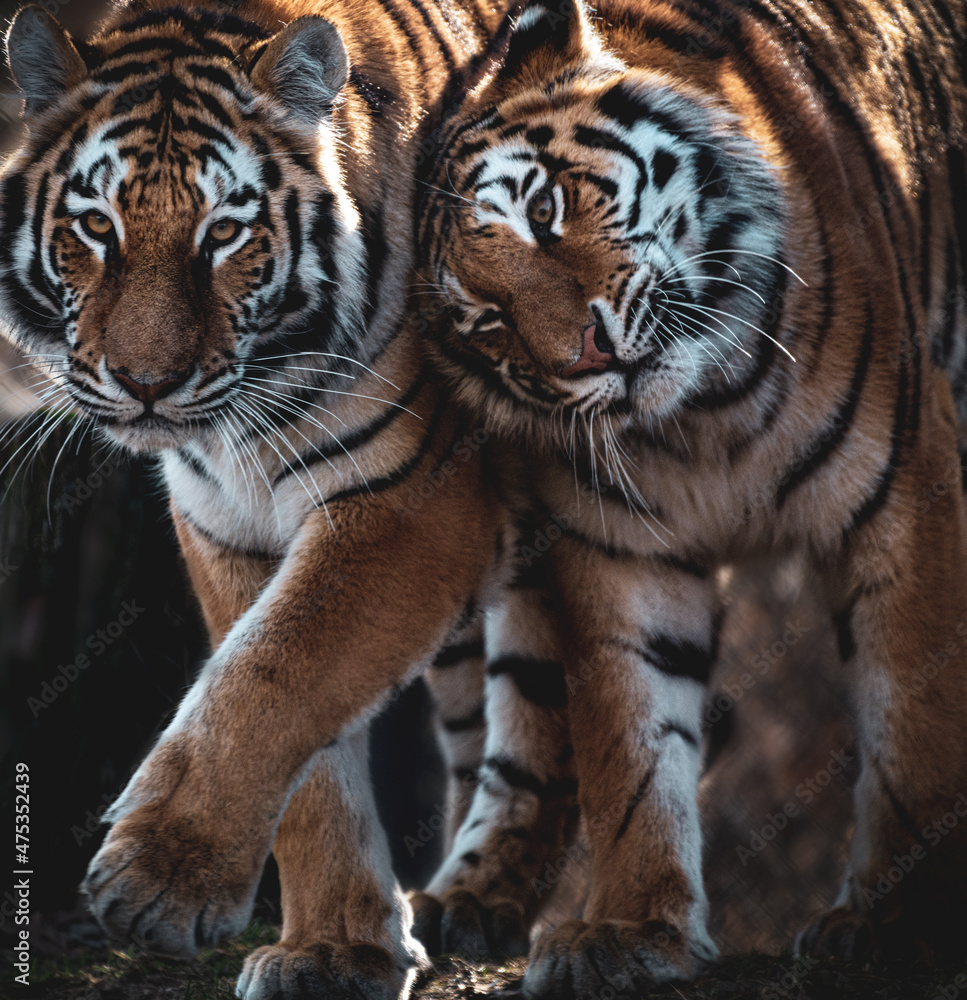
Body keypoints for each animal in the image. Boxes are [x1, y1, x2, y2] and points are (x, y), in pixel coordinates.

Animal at [0, 1, 540, 997]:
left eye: (223, 233)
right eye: (95, 226)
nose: (146, 384)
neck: (238, 432)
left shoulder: (410, 506)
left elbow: (276, 677)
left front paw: (159, 883)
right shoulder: (226, 528)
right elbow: (289, 723)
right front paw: (336, 951)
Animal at [414, 0, 967, 992]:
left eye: (542, 209)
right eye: (485, 320)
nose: (585, 354)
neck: (709, 412)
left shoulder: (905, 489)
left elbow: (912, 719)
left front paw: (898, 925)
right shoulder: (616, 549)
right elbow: (632, 743)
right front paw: (631, 930)